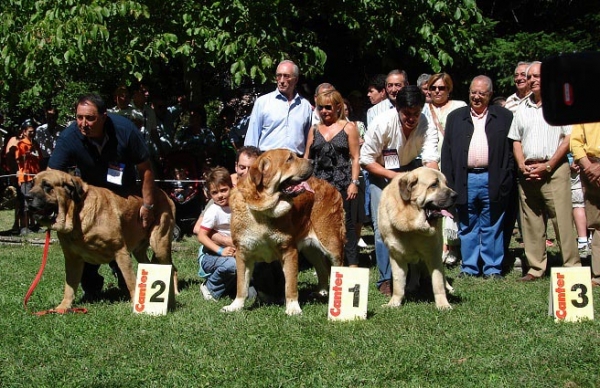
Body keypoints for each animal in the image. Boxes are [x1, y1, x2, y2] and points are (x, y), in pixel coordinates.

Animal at [25, 170, 178, 312]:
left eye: (47, 186)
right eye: (32, 184)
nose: (27, 197)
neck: (77, 215)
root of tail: (163, 193)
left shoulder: (120, 251)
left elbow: (130, 280)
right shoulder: (72, 259)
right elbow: (69, 286)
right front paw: (63, 307)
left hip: (160, 245)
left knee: (172, 268)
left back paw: (174, 293)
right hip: (140, 251)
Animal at [221, 149, 344, 316]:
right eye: (289, 159)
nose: (313, 161)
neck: (262, 210)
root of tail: (331, 186)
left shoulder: (289, 251)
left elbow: (290, 284)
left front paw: (293, 308)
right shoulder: (243, 253)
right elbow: (241, 285)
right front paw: (235, 306)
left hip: (332, 245)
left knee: (339, 267)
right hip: (310, 250)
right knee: (322, 269)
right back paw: (322, 292)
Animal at [378, 167, 458, 310]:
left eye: (446, 183)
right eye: (434, 185)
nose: (455, 195)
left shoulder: (433, 253)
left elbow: (438, 282)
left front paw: (443, 304)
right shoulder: (396, 256)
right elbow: (398, 283)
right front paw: (394, 303)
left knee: (442, 275)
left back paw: (449, 288)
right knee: (415, 268)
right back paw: (412, 285)